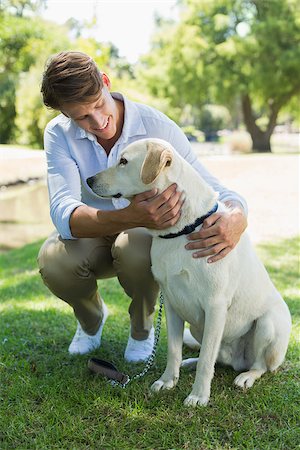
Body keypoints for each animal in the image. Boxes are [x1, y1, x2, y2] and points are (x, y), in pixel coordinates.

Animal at [86, 138, 290, 408]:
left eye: (124, 161)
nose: (89, 180)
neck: (182, 229)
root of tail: (238, 361)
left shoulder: (215, 307)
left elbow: (207, 360)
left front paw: (199, 395)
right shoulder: (173, 303)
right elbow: (175, 350)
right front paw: (167, 381)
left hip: (268, 324)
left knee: (258, 365)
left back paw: (246, 376)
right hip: (196, 328)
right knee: (214, 358)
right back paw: (190, 363)